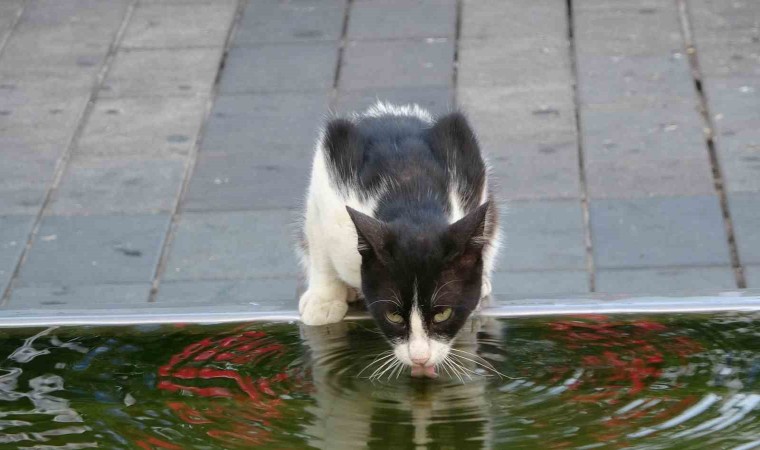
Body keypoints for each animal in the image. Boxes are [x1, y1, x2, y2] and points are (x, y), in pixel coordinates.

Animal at [296, 101, 498, 376]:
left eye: (442, 314)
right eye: (393, 316)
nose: (420, 358)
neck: (412, 204)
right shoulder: (329, 178)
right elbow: (319, 245)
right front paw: (324, 300)